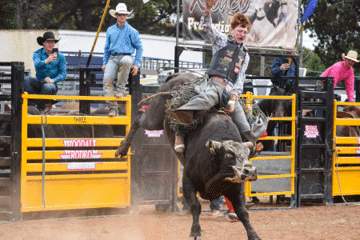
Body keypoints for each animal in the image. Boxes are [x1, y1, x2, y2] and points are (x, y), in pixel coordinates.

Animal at [115, 73, 262, 240]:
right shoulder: (187, 181)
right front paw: (195, 232)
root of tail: (180, 74)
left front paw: (253, 235)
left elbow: (243, 212)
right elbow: (195, 207)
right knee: (139, 116)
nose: (250, 171)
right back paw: (122, 148)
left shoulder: (236, 187)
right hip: (155, 116)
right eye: (227, 155)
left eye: (247, 154)